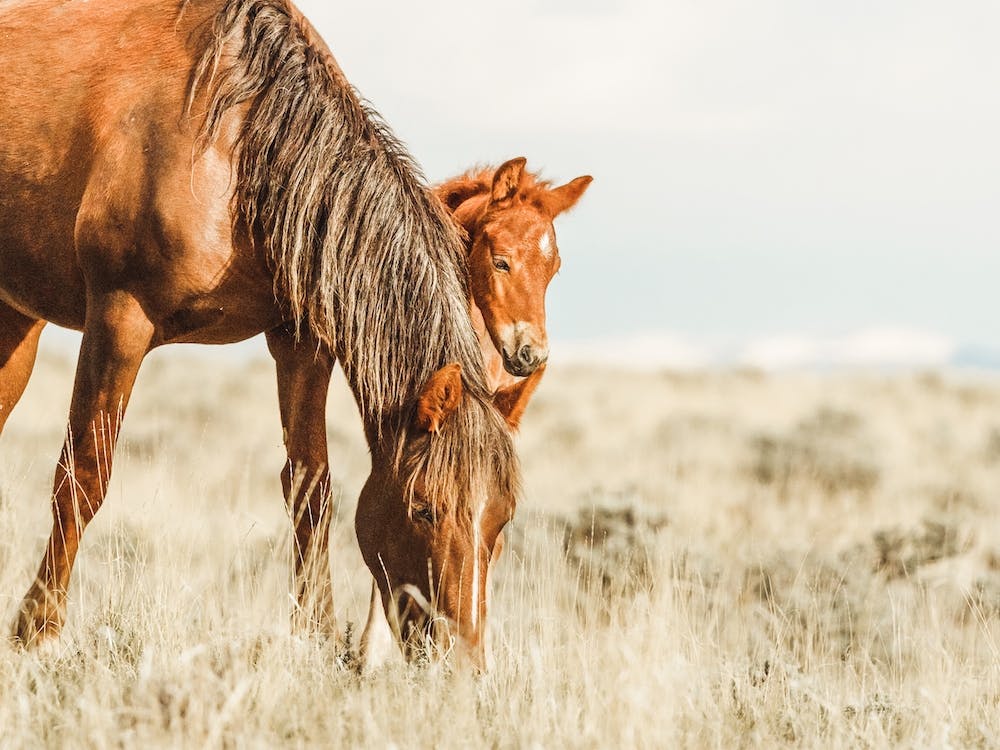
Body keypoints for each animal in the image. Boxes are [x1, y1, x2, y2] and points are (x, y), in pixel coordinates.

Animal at [0, 0, 530, 668]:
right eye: (424, 508)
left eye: (501, 522)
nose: (461, 664)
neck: (238, 145)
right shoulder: (119, 319)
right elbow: (84, 477)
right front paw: (38, 631)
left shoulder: (302, 343)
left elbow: (311, 488)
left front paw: (315, 633)